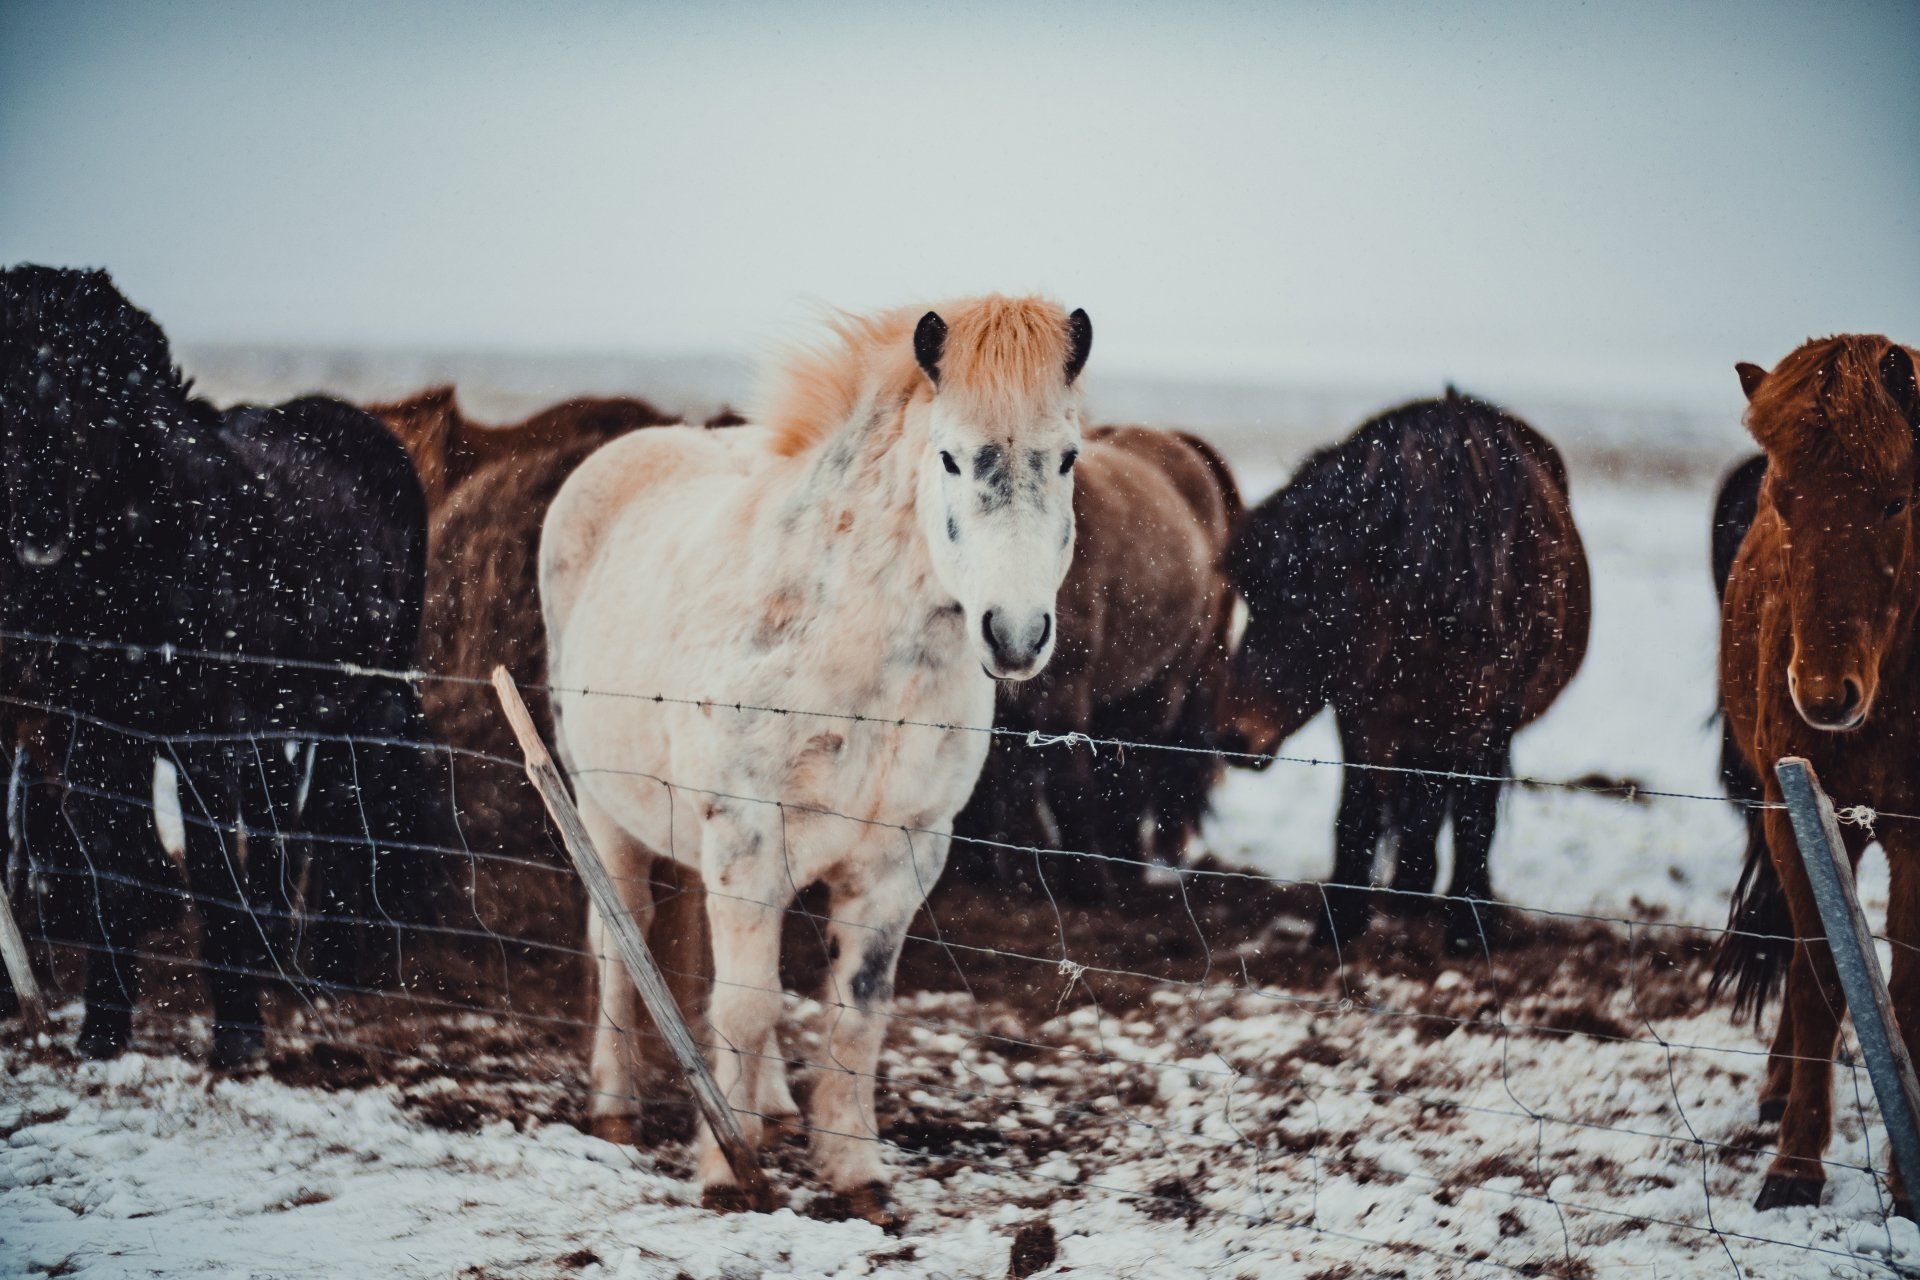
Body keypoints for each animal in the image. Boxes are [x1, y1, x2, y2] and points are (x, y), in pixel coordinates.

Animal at [0, 265, 443, 1066]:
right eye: (3, 392)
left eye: (87, 390)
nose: (37, 528)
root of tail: (358, 424)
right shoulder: (95, 741)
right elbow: (111, 869)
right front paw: (103, 1029)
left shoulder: (202, 737)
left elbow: (209, 870)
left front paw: (236, 1035)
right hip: (283, 710)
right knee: (282, 817)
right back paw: (280, 957)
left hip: (365, 697)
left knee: (340, 808)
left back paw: (323, 972)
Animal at [542, 295, 1092, 1218]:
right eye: (949, 456)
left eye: (1068, 457)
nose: (1015, 636)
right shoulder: (745, 831)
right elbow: (746, 1003)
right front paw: (729, 1173)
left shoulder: (900, 856)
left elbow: (854, 1014)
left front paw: (855, 1171)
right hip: (600, 807)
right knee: (621, 940)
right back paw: (616, 1106)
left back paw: (768, 1106)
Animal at [950, 424, 1240, 900]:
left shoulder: (1063, 693)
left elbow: (1066, 781)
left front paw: (1083, 881)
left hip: (1167, 681)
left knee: (1136, 764)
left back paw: (1124, 865)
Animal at [1217, 390, 1590, 951]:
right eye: (1254, 600)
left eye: (1322, 606)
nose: (1233, 737)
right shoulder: (1362, 711)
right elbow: (1358, 813)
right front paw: (1338, 924)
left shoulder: (1487, 718)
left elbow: (1475, 820)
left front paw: (1467, 930)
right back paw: (1409, 891)